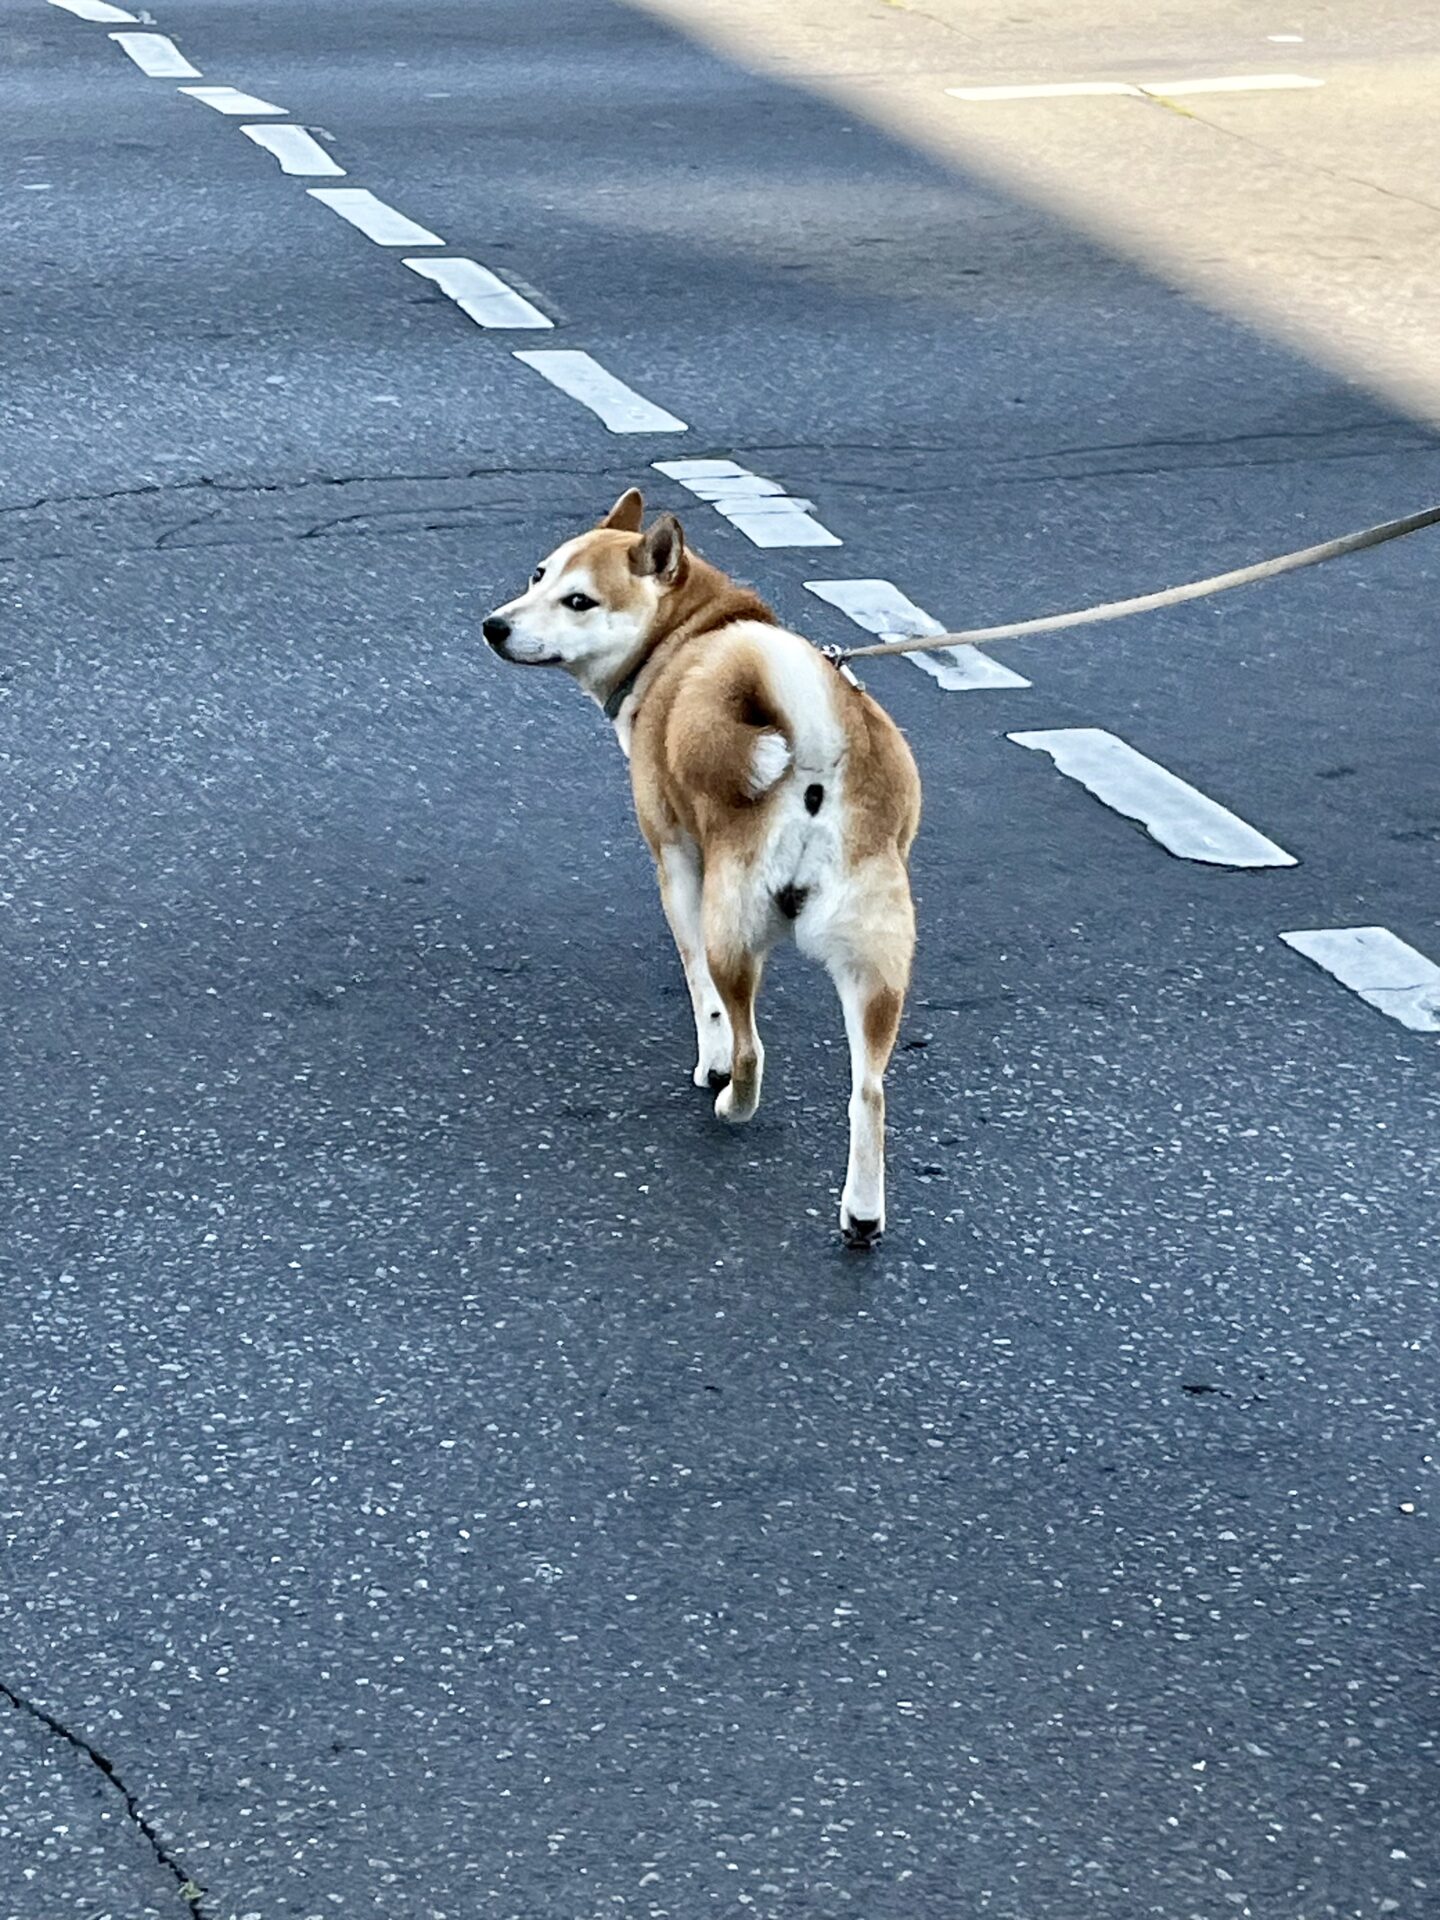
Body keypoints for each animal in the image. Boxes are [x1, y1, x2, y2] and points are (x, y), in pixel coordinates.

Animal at [485, 495, 925, 1244]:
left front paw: (709, 1061)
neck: (691, 636)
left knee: (750, 1048)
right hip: (877, 959)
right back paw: (862, 1215)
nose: (495, 626)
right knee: (869, 1093)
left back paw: (731, 1103)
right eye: (539, 574)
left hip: (732, 927)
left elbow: (703, 998)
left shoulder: (676, 867)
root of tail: (816, 752)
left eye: (579, 601)